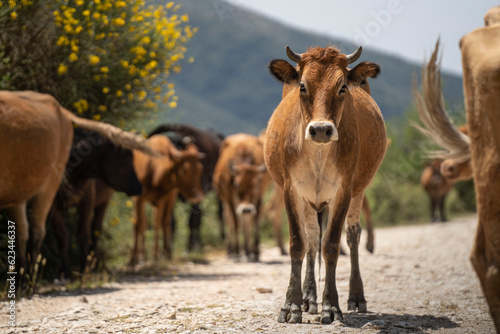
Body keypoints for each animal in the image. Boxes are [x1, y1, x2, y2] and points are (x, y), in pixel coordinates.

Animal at [0, 90, 155, 276]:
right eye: (127, 157)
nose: (139, 187)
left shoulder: (87, 199)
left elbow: (83, 234)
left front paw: (85, 268)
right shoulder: (54, 206)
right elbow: (63, 236)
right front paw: (65, 271)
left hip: (101, 202)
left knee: (95, 231)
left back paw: (96, 264)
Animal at [132, 134, 206, 264]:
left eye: (200, 169)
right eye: (184, 170)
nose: (199, 196)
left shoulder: (163, 199)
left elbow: (159, 223)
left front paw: (157, 255)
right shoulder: (138, 199)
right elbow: (139, 224)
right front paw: (135, 258)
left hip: (167, 201)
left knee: (162, 221)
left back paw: (161, 254)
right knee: (142, 222)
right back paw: (141, 256)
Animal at [214, 132, 272, 260]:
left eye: (256, 184)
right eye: (236, 184)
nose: (246, 209)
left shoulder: (258, 198)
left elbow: (255, 221)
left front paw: (255, 251)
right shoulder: (230, 200)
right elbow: (235, 223)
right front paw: (236, 250)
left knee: (246, 222)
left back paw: (247, 250)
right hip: (227, 202)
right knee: (230, 219)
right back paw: (231, 250)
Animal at [266, 45, 386, 322]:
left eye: (342, 87)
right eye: (302, 85)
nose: (321, 129)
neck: (318, 152)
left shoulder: (344, 190)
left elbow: (331, 245)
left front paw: (331, 306)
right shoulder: (291, 188)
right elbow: (298, 243)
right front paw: (292, 305)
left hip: (357, 190)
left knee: (352, 235)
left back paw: (356, 297)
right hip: (310, 197)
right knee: (312, 237)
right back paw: (309, 297)